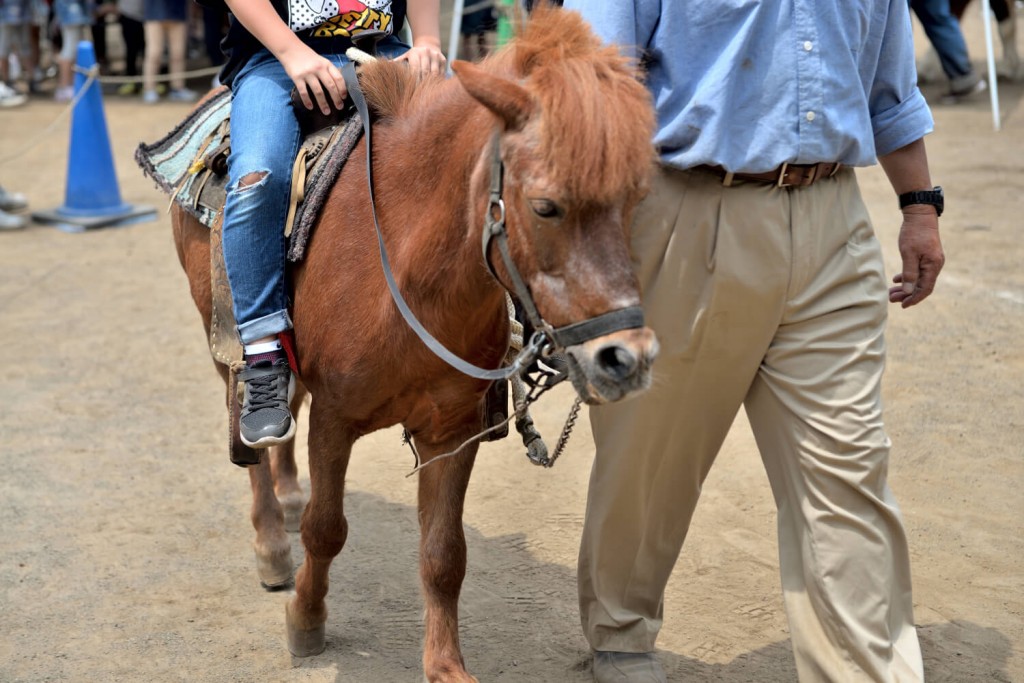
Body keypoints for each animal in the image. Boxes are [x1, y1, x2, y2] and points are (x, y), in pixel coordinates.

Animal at [172, 6, 655, 683]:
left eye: (634, 198)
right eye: (545, 206)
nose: (626, 358)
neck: (405, 269)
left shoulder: (452, 432)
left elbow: (444, 555)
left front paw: (446, 666)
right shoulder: (336, 420)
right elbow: (327, 530)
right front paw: (306, 621)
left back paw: (288, 498)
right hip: (228, 346)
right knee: (253, 430)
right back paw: (272, 543)